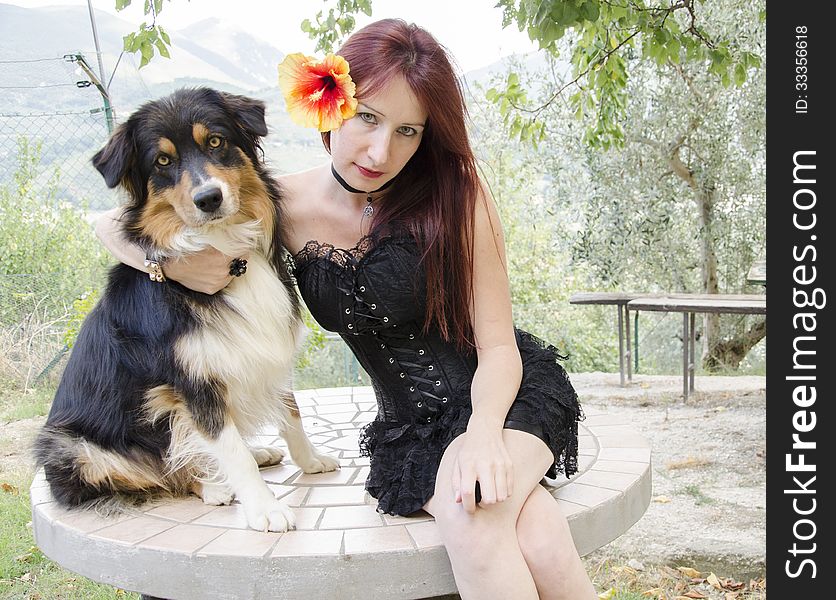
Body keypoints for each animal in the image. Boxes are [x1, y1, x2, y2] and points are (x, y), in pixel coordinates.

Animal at [36, 88, 336, 528]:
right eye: (162, 161)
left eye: (215, 141)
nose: (208, 198)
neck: (229, 254)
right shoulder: (190, 383)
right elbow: (230, 450)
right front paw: (264, 508)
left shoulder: (267, 348)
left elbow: (291, 412)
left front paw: (310, 460)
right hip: (71, 446)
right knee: (160, 472)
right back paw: (212, 486)